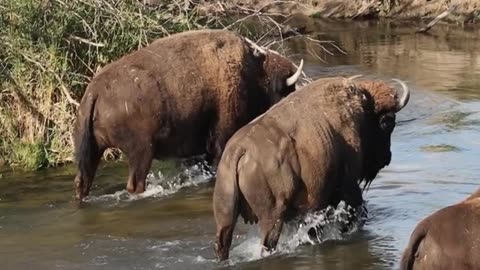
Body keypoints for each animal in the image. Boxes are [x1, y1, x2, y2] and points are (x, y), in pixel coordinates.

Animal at [71, 29, 304, 200]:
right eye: (285, 92)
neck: (254, 73)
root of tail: (94, 91)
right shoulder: (220, 140)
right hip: (142, 151)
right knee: (135, 183)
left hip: (91, 150)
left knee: (83, 181)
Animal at [213, 76, 408, 262]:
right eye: (388, 122)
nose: (387, 158)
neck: (362, 110)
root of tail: (240, 149)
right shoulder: (349, 185)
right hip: (273, 217)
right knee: (268, 243)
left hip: (226, 216)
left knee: (223, 243)